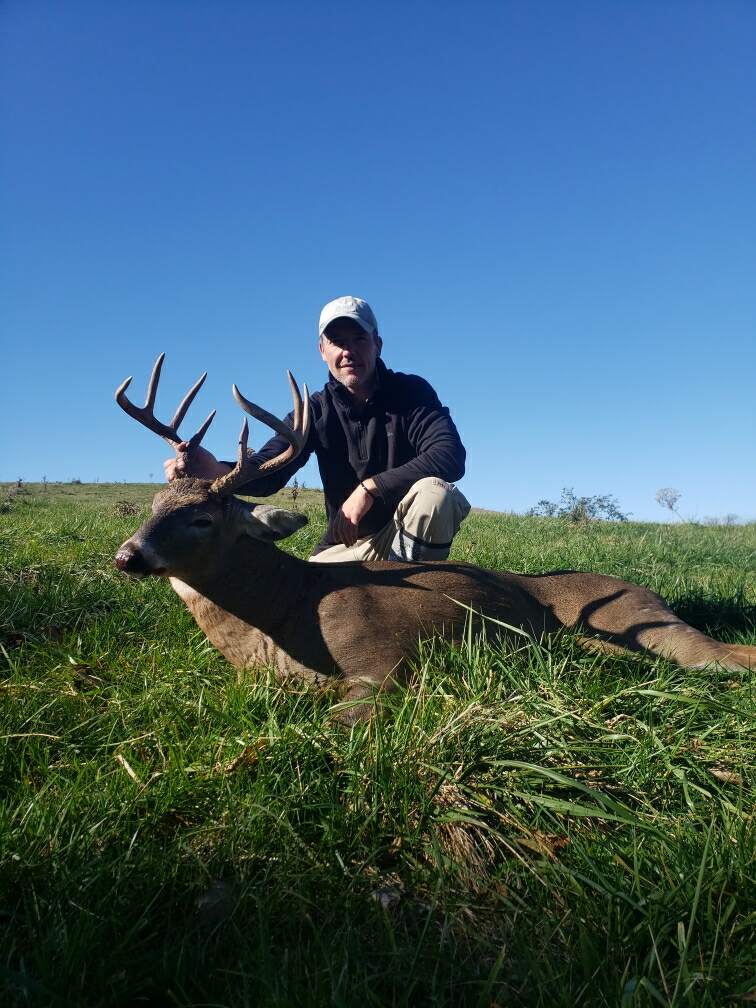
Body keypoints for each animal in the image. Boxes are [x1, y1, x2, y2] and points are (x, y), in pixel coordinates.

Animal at [114, 355, 755, 722]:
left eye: (202, 518)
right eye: (153, 507)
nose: (127, 555)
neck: (281, 616)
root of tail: (647, 590)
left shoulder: (382, 664)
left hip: (639, 624)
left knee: (728, 656)